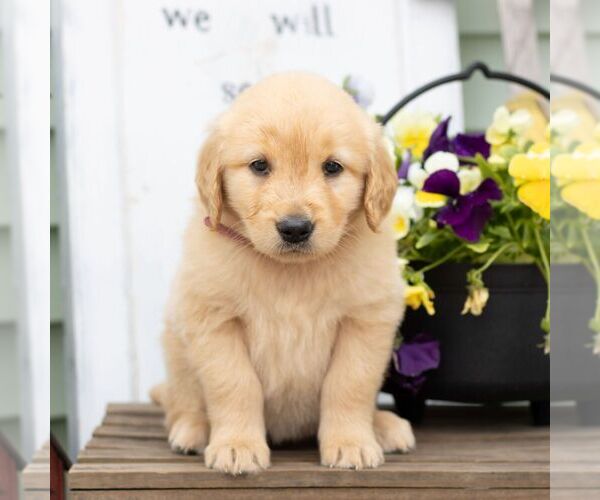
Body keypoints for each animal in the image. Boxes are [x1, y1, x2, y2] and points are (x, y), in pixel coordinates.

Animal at [152, 72, 414, 474]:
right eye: (259, 166)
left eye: (332, 167)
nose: (295, 228)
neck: (290, 272)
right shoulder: (213, 319)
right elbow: (234, 383)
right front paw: (237, 446)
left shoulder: (366, 319)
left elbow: (350, 383)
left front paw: (351, 443)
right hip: (176, 346)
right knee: (181, 402)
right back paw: (192, 430)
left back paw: (384, 426)